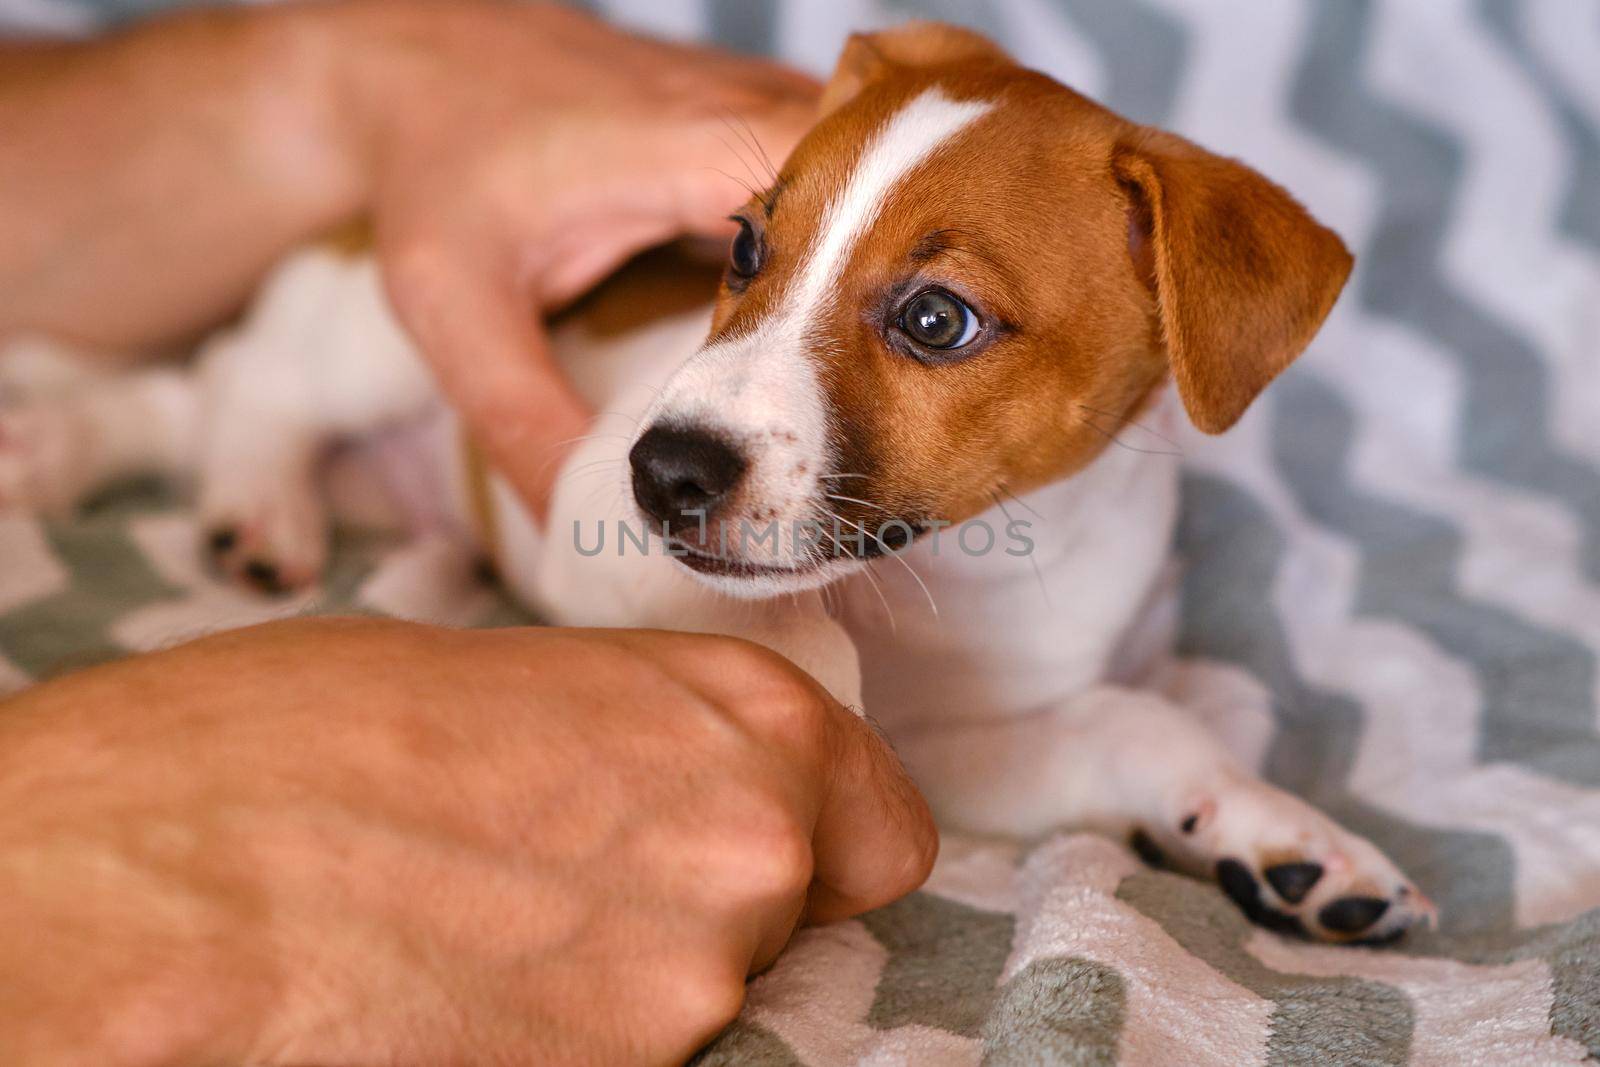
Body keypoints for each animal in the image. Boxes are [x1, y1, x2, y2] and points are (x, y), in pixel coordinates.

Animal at [0, 22, 1446, 940]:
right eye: (746, 244)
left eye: (937, 320)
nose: (663, 471)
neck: (939, 573)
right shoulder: (589, 499)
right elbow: (804, 644)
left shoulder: (969, 740)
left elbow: (1138, 724)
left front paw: (1285, 837)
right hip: (375, 326)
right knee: (228, 389)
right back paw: (236, 499)